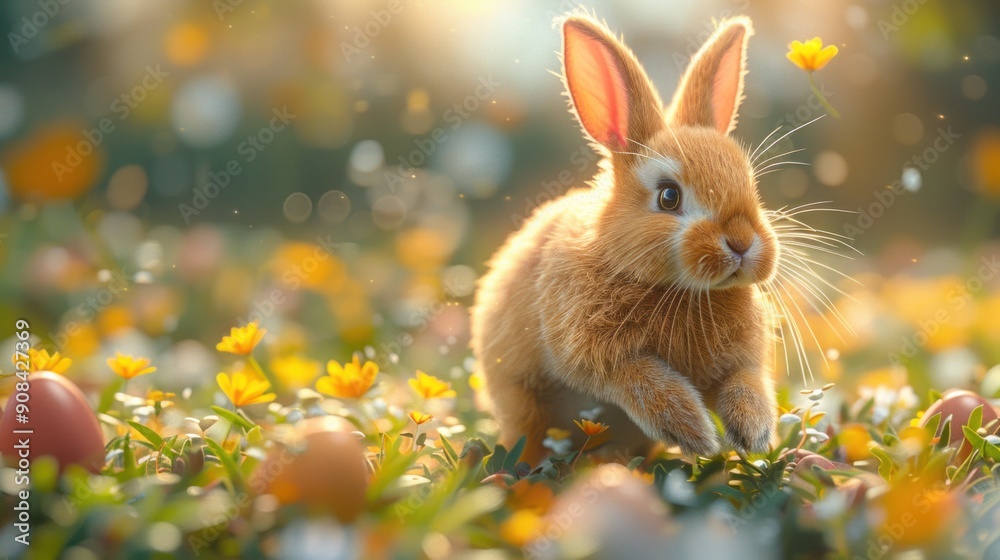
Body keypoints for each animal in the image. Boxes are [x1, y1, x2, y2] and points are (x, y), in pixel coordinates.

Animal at [471, 12, 781, 466]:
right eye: (669, 196)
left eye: (751, 185)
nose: (741, 241)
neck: (680, 289)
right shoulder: (597, 353)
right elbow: (639, 379)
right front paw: (693, 430)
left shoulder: (739, 362)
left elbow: (746, 380)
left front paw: (753, 431)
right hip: (523, 402)